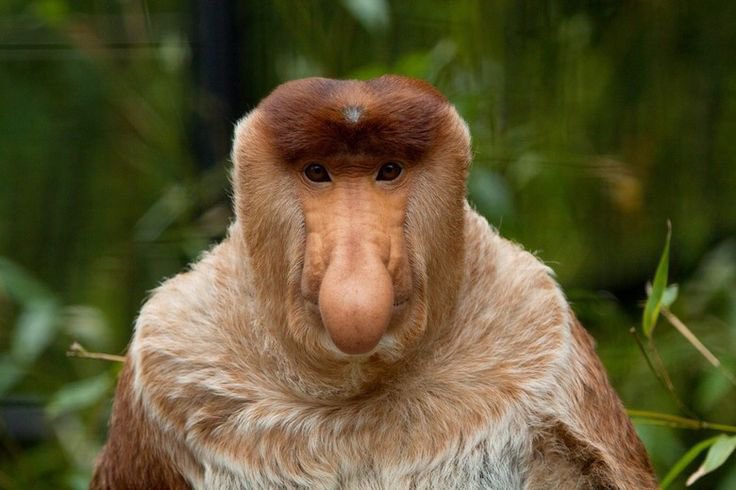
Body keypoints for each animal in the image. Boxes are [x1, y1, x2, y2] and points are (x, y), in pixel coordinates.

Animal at [91, 76, 657, 489]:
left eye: (388, 170)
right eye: (318, 172)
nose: (357, 270)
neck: (351, 386)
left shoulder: (541, 330)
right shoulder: (170, 357)